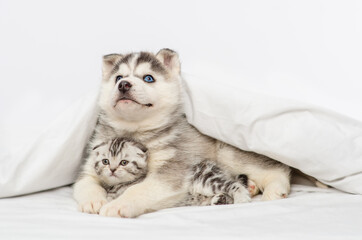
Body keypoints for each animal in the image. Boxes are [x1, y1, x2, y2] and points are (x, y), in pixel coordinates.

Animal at [72, 48, 290, 218]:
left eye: (148, 78)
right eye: (118, 77)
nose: (124, 84)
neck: (134, 129)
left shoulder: (172, 169)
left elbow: (139, 189)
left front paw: (118, 205)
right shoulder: (91, 163)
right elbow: (85, 183)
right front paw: (94, 202)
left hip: (228, 151)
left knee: (277, 168)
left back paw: (275, 189)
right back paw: (252, 186)